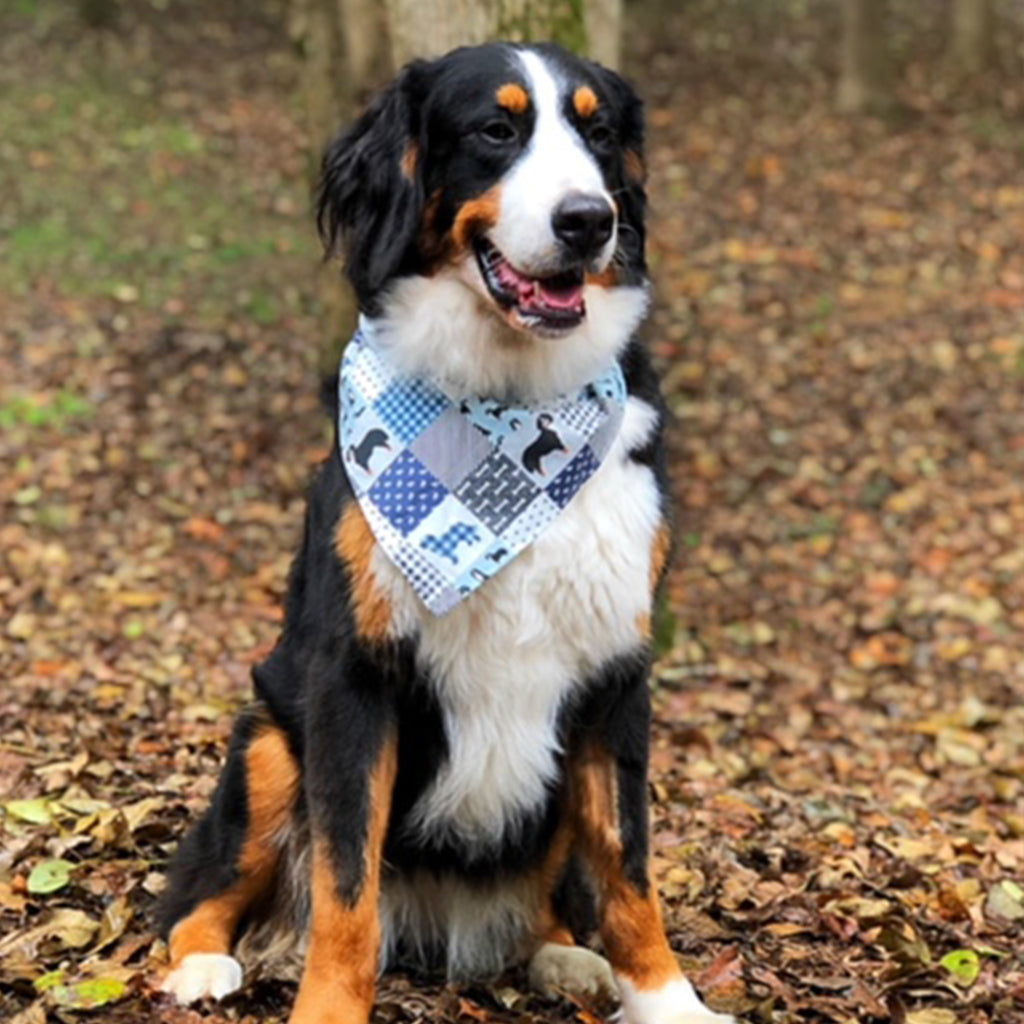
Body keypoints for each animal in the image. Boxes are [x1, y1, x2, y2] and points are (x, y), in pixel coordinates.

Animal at [157, 39, 737, 1024]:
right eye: (496, 131)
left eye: (599, 135)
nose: (590, 220)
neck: (507, 404)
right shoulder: (353, 675)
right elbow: (346, 888)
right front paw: (326, 1008)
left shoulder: (617, 665)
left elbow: (628, 867)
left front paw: (667, 1001)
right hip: (270, 741)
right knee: (202, 889)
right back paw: (204, 963)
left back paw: (563, 955)